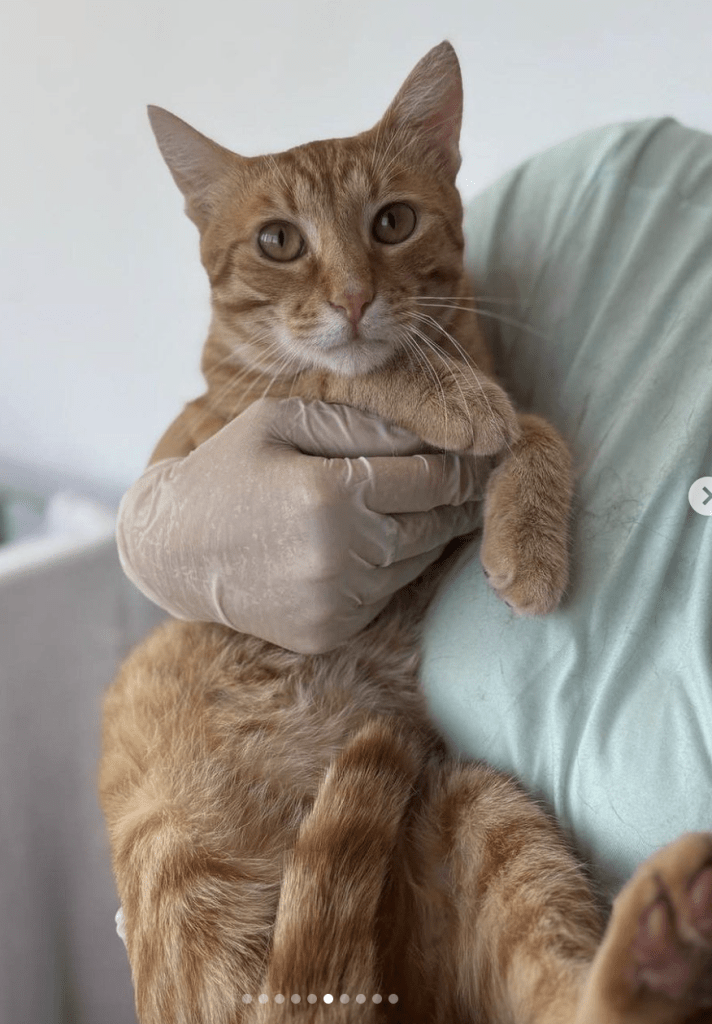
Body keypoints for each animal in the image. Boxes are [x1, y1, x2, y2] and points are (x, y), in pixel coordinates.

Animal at [100, 41, 712, 1024]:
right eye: (279, 241)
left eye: (393, 222)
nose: (353, 298)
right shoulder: (202, 441)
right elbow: (335, 378)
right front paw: (453, 399)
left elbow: (534, 430)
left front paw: (525, 542)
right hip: (186, 865)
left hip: (485, 811)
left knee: (565, 997)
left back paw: (661, 948)